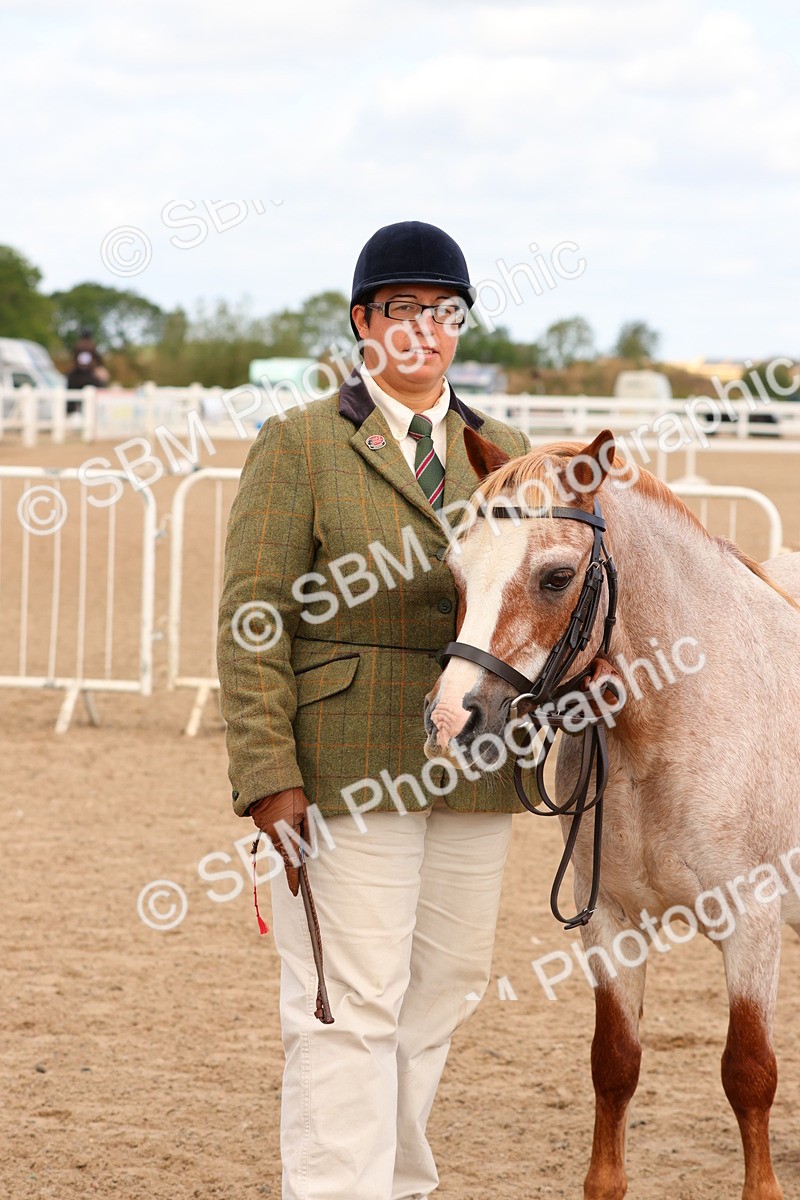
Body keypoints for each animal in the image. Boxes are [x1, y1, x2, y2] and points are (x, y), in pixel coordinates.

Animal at [423, 428, 800, 1200]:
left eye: (556, 577)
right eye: (457, 570)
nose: (451, 720)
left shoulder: (753, 922)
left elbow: (750, 1072)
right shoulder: (611, 923)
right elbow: (615, 1063)